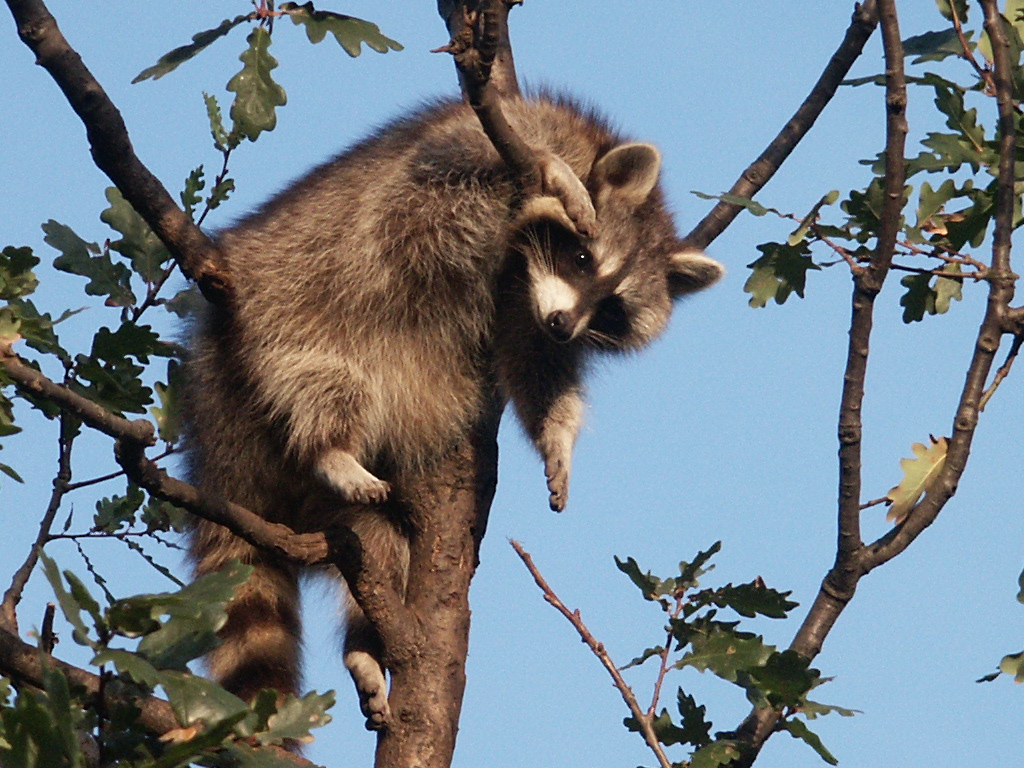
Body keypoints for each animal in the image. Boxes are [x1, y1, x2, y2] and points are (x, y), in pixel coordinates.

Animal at [186, 93, 729, 729]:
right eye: (580, 255)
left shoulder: (526, 308)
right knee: (325, 380)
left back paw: (364, 643)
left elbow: (536, 367)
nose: (564, 325)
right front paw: (550, 178)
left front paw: (557, 435)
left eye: (614, 310)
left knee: (381, 546)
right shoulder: (476, 142)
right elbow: (439, 189)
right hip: (274, 322)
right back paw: (331, 447)